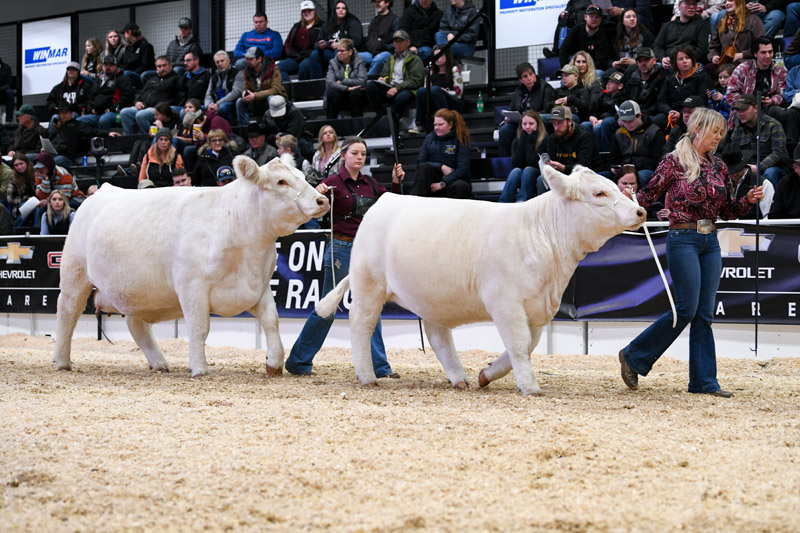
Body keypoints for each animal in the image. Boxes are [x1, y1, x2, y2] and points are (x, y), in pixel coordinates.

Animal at [54, 154, 328, 376]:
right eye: (281, 182)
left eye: (301, 176)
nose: (322, 199)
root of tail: (102, 190)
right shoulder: (192, 287)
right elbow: (199, 328)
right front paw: (199, 368)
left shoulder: (258, 285)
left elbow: (272, 321)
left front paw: (274, 364)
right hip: (75, 274)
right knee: (67, 313)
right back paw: (62, 362)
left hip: (137, 292)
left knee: (136, 325)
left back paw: (159, 364)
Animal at [316, 165, 648, 394]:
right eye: (599, 193)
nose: (640, 210)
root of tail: (385, 199)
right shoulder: (505, 302)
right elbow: (519, 344)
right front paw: (530, 387)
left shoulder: (537, 307)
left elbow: (528, 345)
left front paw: (487, 374)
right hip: (368, 283)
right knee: (361, 326)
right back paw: (367, 377)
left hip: (431, 297)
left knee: (438, 337)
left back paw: (460, 378)